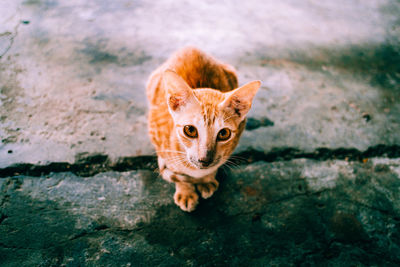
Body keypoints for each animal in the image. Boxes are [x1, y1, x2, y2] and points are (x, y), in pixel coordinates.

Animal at [145, 47, 260, 213]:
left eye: (224, 134)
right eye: (190, 130)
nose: (205, 160)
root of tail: (191, 47)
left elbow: (215, 166)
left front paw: (207, 179)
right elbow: (176, 170)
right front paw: (185, 191)